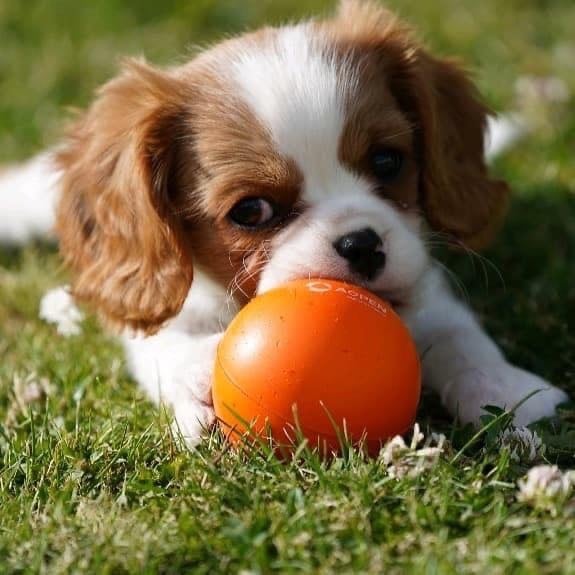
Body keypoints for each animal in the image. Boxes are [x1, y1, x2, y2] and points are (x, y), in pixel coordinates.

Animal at [0, 1, 568, 446]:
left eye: (388, 161)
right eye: (251, 211)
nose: (361, 244)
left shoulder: (425, 285)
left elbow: (457, 334)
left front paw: (503, 387)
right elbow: (164, 345)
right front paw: (200, 372)